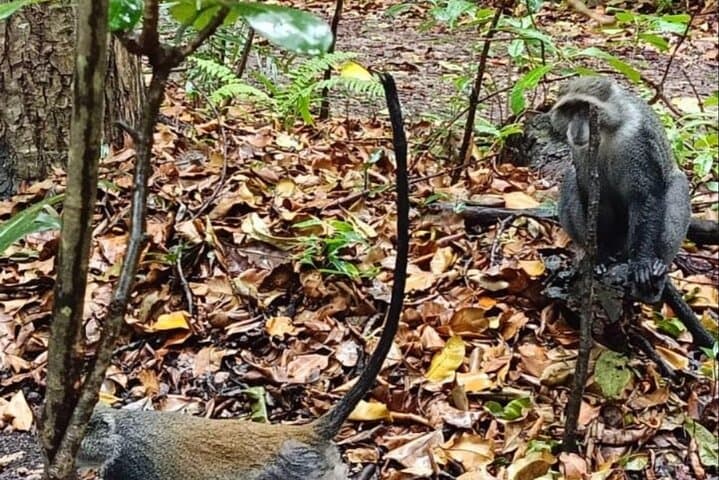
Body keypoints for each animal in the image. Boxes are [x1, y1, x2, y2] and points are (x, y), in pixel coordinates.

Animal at [550, 76, 714, 348]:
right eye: (570, 110)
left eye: (586, 109)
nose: (576, 128)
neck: (608, 131)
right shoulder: (582, 155)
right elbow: (591, 195)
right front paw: (600, 257)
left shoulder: (639, 139)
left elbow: (646, 196)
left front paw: (642, 264)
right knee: (570, 177)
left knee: (677, 182)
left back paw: (657, 263)